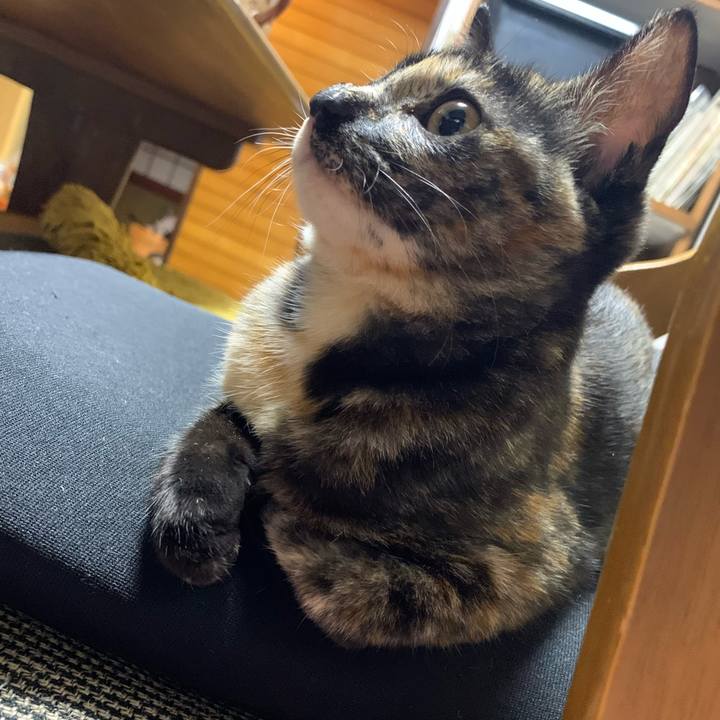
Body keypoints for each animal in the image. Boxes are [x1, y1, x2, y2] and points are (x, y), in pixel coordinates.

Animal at [149, 7, 697, 648]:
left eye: (452, 118)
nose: (327, 99)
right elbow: (217, 420)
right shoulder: (248, 377)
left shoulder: (531, 567)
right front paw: (194, 510)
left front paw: (280, 497)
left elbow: (343, 581)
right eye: (382, 79)